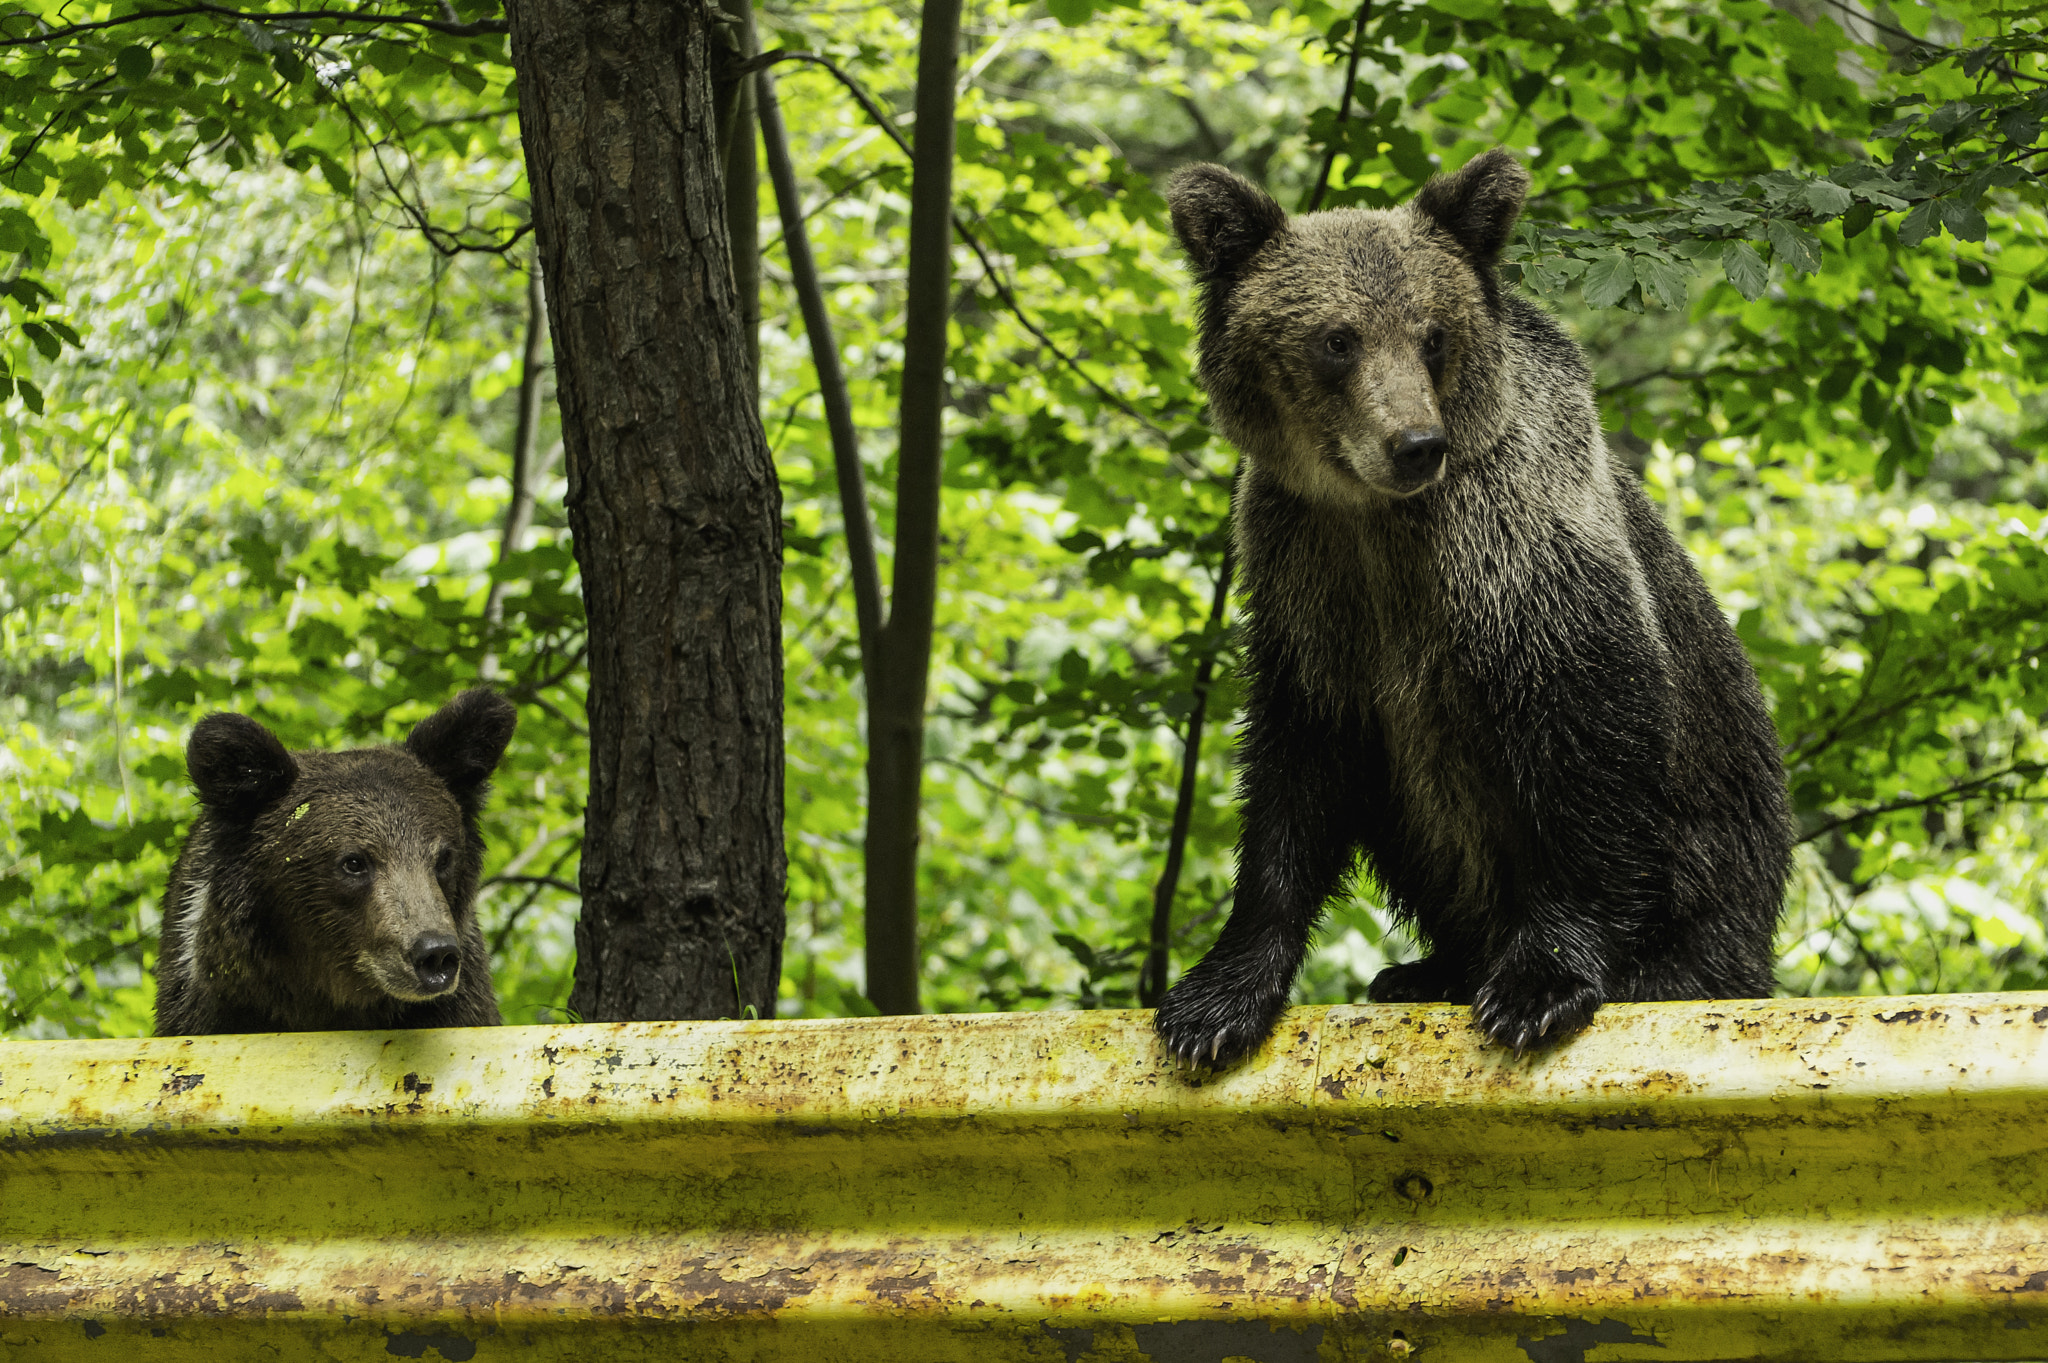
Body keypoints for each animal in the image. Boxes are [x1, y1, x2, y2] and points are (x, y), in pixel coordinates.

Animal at [1152, 150, 1791, 1066]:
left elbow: (1588, 735)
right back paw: (1426, 967)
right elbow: (1295, 777)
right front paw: (1214, 1003)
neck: (1379, 521)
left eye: (1432, 333)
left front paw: (1539, 985)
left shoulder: (1514, 550)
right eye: (1338, 338)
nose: (1416, 444)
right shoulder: (1307, 584)